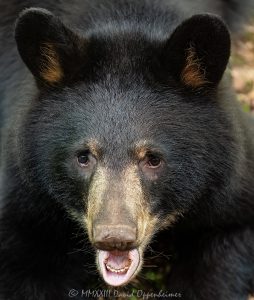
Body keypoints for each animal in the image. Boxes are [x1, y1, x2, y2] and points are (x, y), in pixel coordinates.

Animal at [0, 0, 254, 298]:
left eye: (153, 159)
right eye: (83, 157)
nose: (115, 238)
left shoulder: (227, 175)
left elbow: (230, 230)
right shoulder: (26, 189)